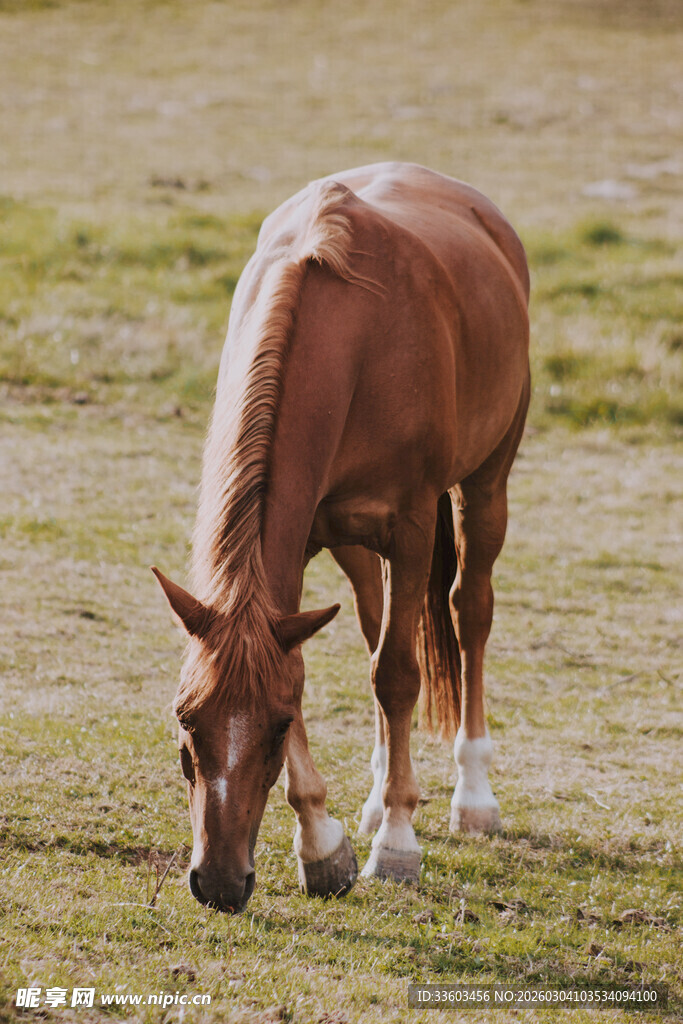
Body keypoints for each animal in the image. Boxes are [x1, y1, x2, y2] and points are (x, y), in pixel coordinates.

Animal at [152, 162, 530, 914]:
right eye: (186, 719)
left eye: (272, 728)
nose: (218, 882)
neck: (352, 338)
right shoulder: (298, 542)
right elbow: (331, 662)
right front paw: (323, 844)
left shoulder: (410, 528)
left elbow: (398, 674)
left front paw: (398, 843)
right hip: (354, 543)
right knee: (375, 624)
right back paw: (380, 795)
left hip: (483, 485)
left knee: (466, 614)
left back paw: (471, 795)